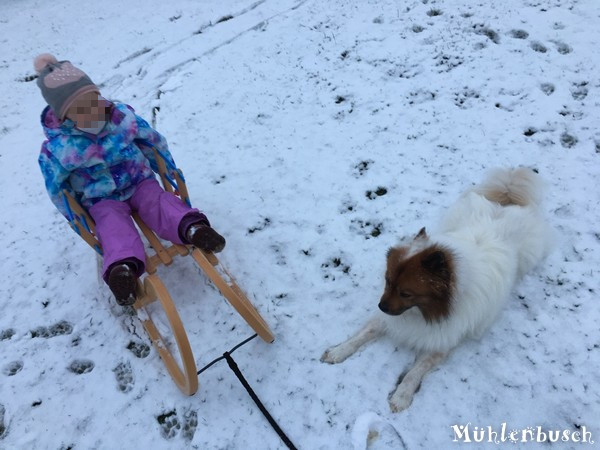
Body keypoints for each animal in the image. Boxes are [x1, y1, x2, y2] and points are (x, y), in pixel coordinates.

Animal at [324, 168, 552, 412]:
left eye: (406, 293)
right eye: (387, 281)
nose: (381, 306)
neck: (424, 313)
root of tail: (507, 202)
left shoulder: (442, 341)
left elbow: (414, 372)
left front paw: (401, 396)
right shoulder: (388, 319)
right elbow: (361, 336)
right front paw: (337, 351)